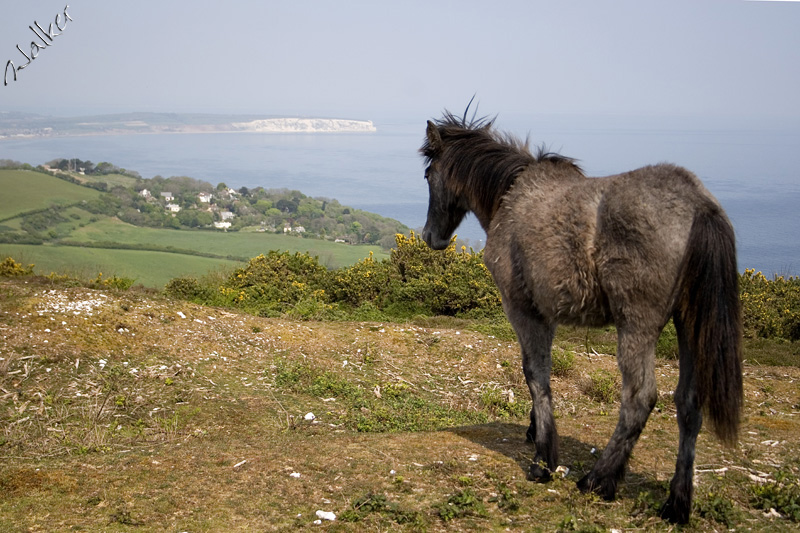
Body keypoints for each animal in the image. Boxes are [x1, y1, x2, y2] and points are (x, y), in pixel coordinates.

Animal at [418, 109, 744, 524]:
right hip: (688, 326)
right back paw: (676, 503)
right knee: (688, 405)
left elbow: (535, 375)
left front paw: (543, 460)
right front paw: (534, 431)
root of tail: (698, 203)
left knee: (639, 398)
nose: (431, 237)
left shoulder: (523, 309)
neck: (512, 195)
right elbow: (540, 374)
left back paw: (599, 480)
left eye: (429, 175)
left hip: (637, 326)